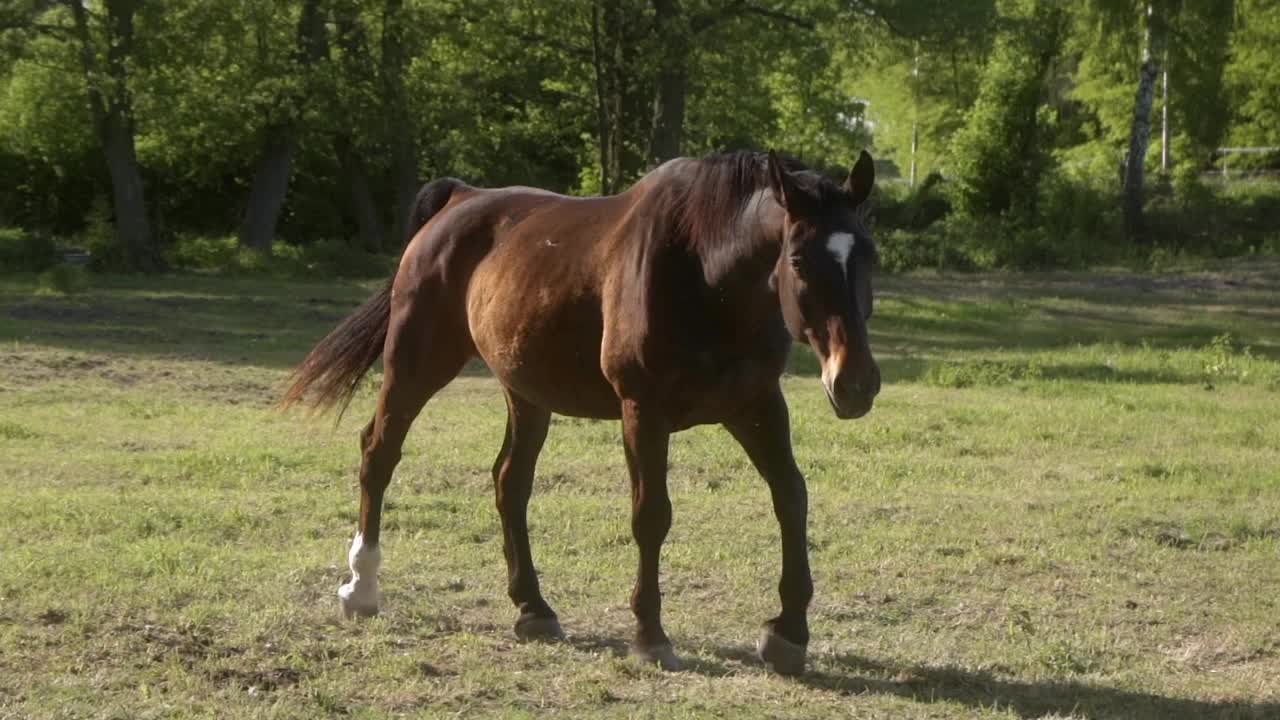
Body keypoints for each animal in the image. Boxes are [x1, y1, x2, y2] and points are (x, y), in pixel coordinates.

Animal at [280, 147, 880, 671]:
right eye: (798, 259)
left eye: (869, 257)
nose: (855, 382)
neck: (707, 275)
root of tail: (460, 200)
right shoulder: (643, 412)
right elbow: (651, 516)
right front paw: (650, 635)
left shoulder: (756, 405)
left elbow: (791, 497)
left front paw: (789, 632)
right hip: (415, 366)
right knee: (379, 454)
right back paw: (362, 587)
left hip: (525, 393)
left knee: (509, 482)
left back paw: (533, 608)